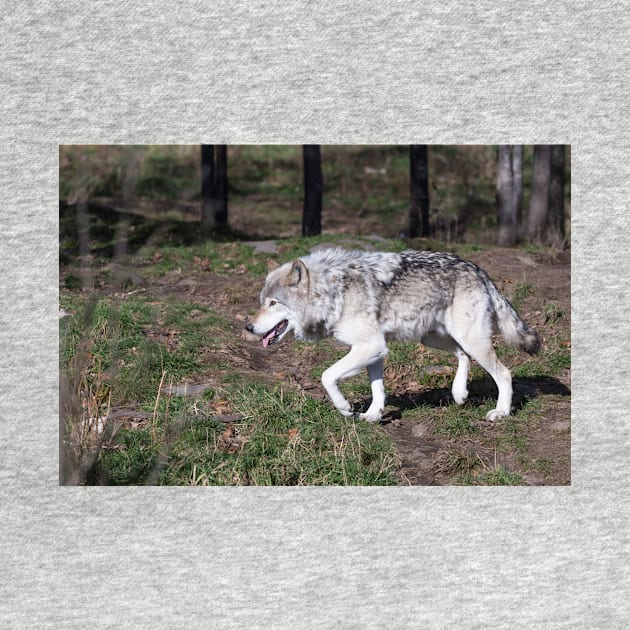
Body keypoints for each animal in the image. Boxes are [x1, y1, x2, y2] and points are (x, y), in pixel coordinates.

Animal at [244, 248, 540, 424]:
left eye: (274, 303)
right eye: (261, 302)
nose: (248, 327)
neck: (333, 293)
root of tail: (478, 269)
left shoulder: (369, 346)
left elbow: (327, 376)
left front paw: (345, 407)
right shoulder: (376, 351)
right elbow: (377, 387)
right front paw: (373, 415)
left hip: (471, 340)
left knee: (504, 373)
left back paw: (501, 411)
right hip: (433, 338)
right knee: (463, 356)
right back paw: (459, 394)